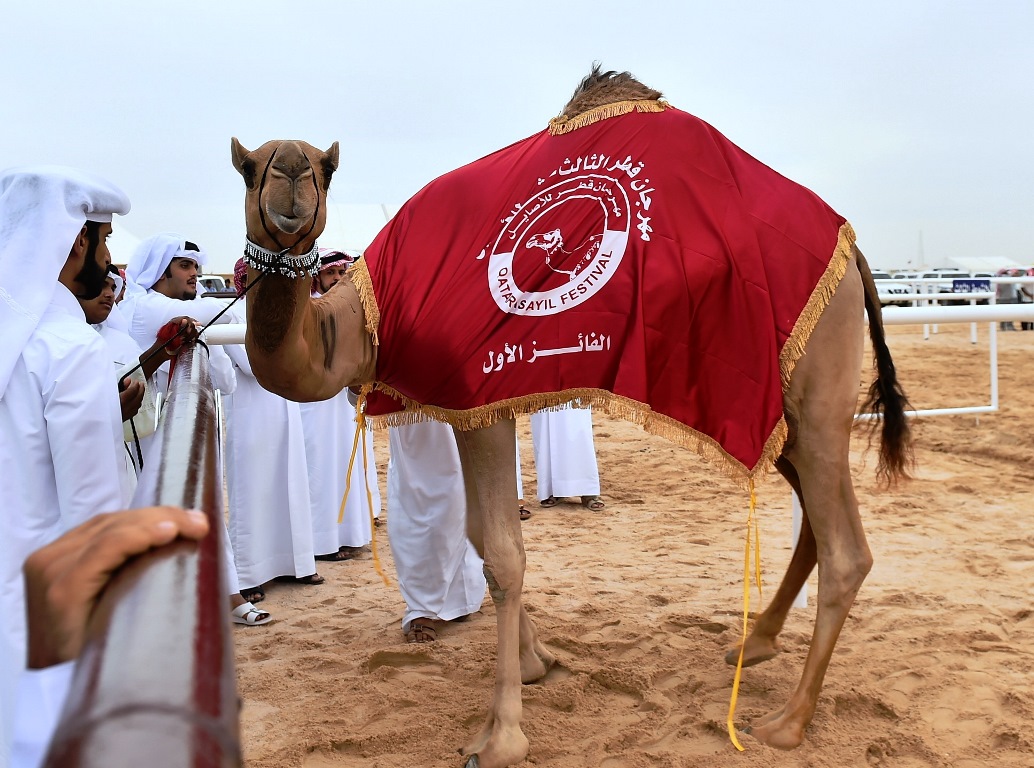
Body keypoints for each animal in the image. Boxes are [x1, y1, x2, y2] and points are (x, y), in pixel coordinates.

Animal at [236, 67, 914, 768]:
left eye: (324, 168)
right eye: (249, 166)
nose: (290, 171)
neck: (367, 319)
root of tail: (853, 253)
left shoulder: (479, 397)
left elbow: (503, 553)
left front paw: (501, 734)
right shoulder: (462, 407)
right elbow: (480, 537)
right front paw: (539, 660)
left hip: (817, 393)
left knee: (847, 550)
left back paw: (787, 721)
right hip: (783, 420)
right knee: (814, 522)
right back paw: (753, 646)